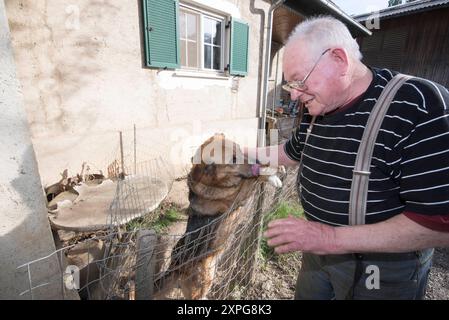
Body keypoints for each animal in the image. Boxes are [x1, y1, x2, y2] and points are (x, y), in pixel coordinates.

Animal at [154, 134, 280, 298]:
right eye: (233, 160)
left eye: (240, 149)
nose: (257, 161)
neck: (213, 183)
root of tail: (175, 266)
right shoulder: (238, 196)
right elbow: (252, 178)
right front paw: (270, 175)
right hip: (204, 280)